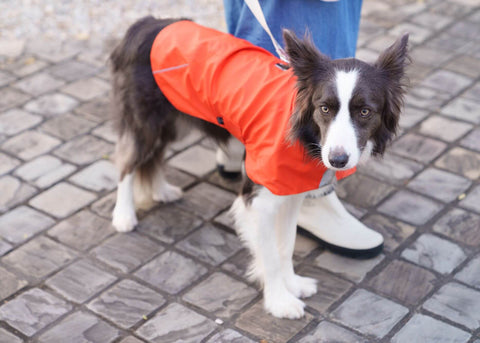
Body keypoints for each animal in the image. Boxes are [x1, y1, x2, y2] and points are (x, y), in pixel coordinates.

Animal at [109, 16, 408, 320]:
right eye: (324, 108)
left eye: (365, 112)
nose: (337, 160)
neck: (303, 134)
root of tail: (146, 25)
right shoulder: (258, 201)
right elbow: (270, 256)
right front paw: (279, 301)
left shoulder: (292, 193)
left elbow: (286, 245)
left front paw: (292, 284)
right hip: (145, 121)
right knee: (127, 161)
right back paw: (124, 215)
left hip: (174, 120)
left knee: (155, 154)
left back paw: (161, 190)